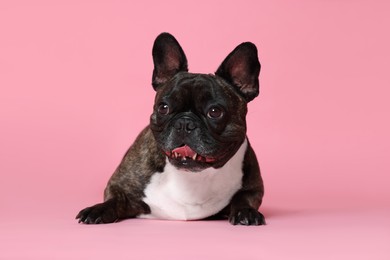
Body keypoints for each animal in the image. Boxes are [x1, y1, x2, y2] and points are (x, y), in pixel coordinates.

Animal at [76, 32, 266, 224]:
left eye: (214, 112)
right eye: (163, 107)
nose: (185, 123)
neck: (191, 176)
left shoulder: (253, 187)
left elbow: (244, 197)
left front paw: (245, 212)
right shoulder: (119, 184)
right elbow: (115, 198)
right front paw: (98, 209)